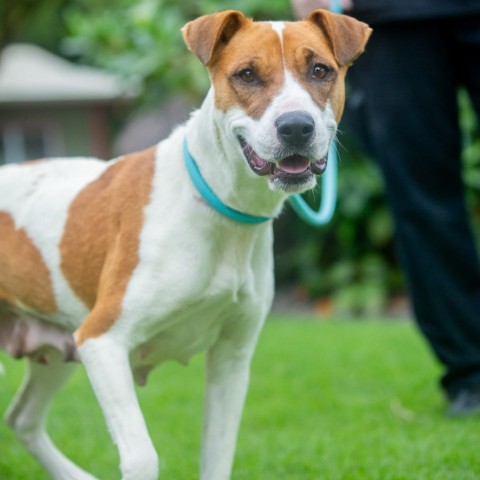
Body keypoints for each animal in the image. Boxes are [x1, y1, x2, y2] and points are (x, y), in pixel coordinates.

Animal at [0, 10, 372, 480]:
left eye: (320, 71)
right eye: (247, 75)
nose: (295, 127)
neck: (220, 204)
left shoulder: (232, 358)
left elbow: (218, 452)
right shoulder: (101, 341)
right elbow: (142, 456)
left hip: (52, 346)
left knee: (23, 419)